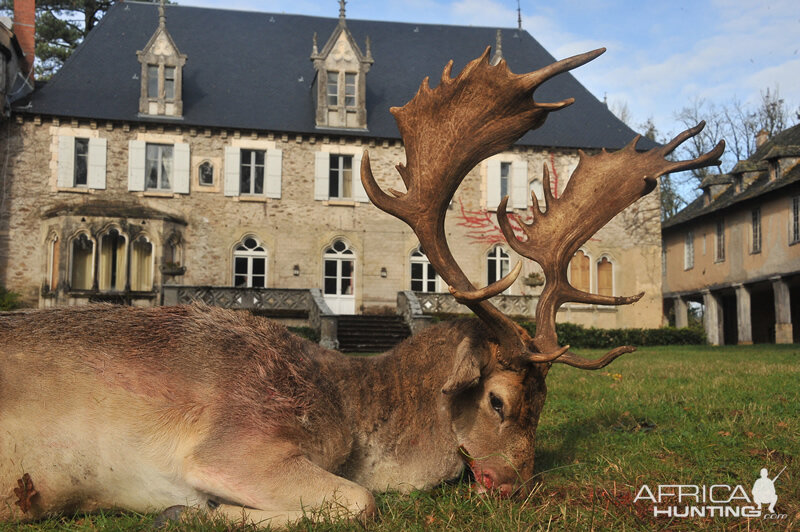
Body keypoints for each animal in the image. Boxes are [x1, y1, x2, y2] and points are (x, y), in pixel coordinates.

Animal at [1, 46, 724, 528]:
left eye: (544, 405)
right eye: (497, 400)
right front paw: (190, 511)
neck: (352, 416)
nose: (514, 486)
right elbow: (360, 500)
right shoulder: (234, 443)